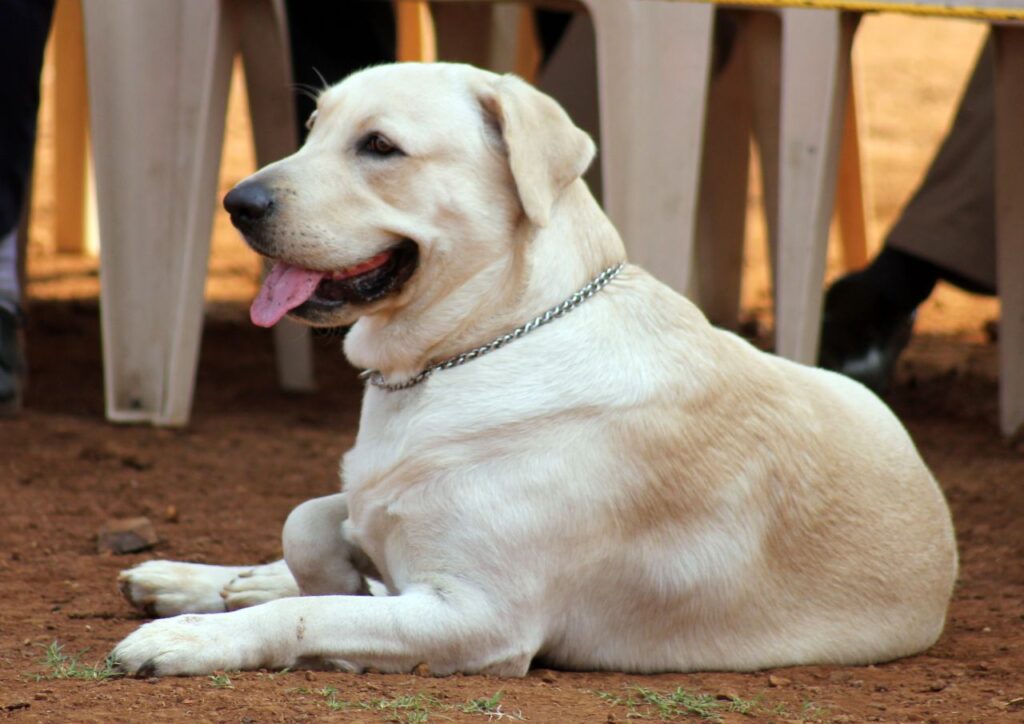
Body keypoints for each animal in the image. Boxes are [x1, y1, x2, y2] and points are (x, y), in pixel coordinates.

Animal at [114, 63, 958, 679]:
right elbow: (308, 523)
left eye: (380, 146)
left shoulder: (479, 617)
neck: (486, 340)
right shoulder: (381, 511)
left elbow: (314, 608)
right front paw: (293, 576)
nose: (237, 201)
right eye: (313, 128)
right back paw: (191, 578)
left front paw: (192, 639)